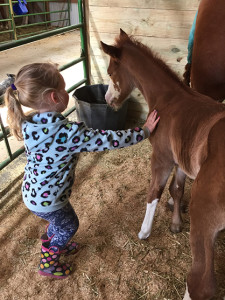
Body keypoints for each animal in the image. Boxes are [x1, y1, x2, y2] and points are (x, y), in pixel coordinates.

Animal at [101, 28, 225, 300]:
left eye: (110, 72)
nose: (107, 101)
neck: (169, 98)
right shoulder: (180, 159)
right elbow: (176, 190)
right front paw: (176, 224)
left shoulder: (161, 158)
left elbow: (154, 192)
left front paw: (144, 231)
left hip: (204, 215)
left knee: (200, 282)